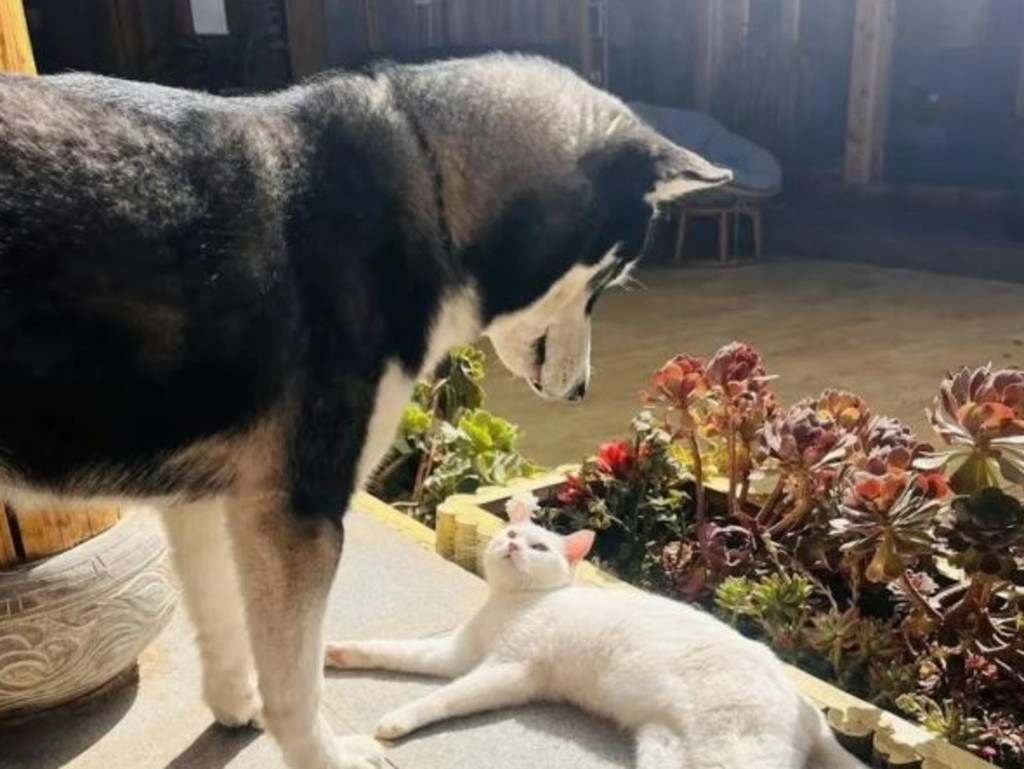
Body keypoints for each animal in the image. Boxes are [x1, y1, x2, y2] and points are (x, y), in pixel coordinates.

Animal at [4, 55, 733, 769]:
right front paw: (321, 754)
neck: (428, 183)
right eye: (605, 278)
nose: (582, 389)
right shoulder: (298, 512)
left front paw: (234, 704)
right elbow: (296, 681)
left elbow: (224, 624)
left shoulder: (206, 499)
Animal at [323, 501, 868, 765]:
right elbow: (393, 650)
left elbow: (443, 698)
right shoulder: (454, 652)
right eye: (511, 534)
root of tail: (810, 711)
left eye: (539, 547)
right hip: (664, 748)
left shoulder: (505, 672)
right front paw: (337, 653)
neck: (511, 604)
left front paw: (397, 720)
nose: (513, 545)